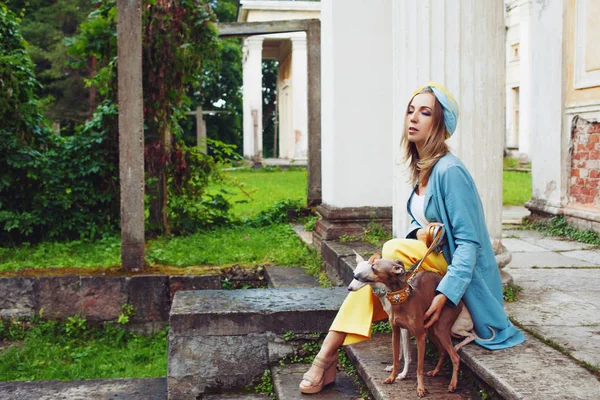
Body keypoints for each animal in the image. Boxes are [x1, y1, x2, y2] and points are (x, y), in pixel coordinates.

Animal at [352, 256, 464, 396]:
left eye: (373, 267)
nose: (356, 276)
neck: (401, 300)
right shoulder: (396, 332)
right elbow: (396, 359)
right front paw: (392, 378)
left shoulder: (420, 336)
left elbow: (419, 367)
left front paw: (420, 388)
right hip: (432, 330)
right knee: (443, 351)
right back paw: (435, 371)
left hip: (440, 329)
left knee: (455, 357)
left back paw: (453, 384)